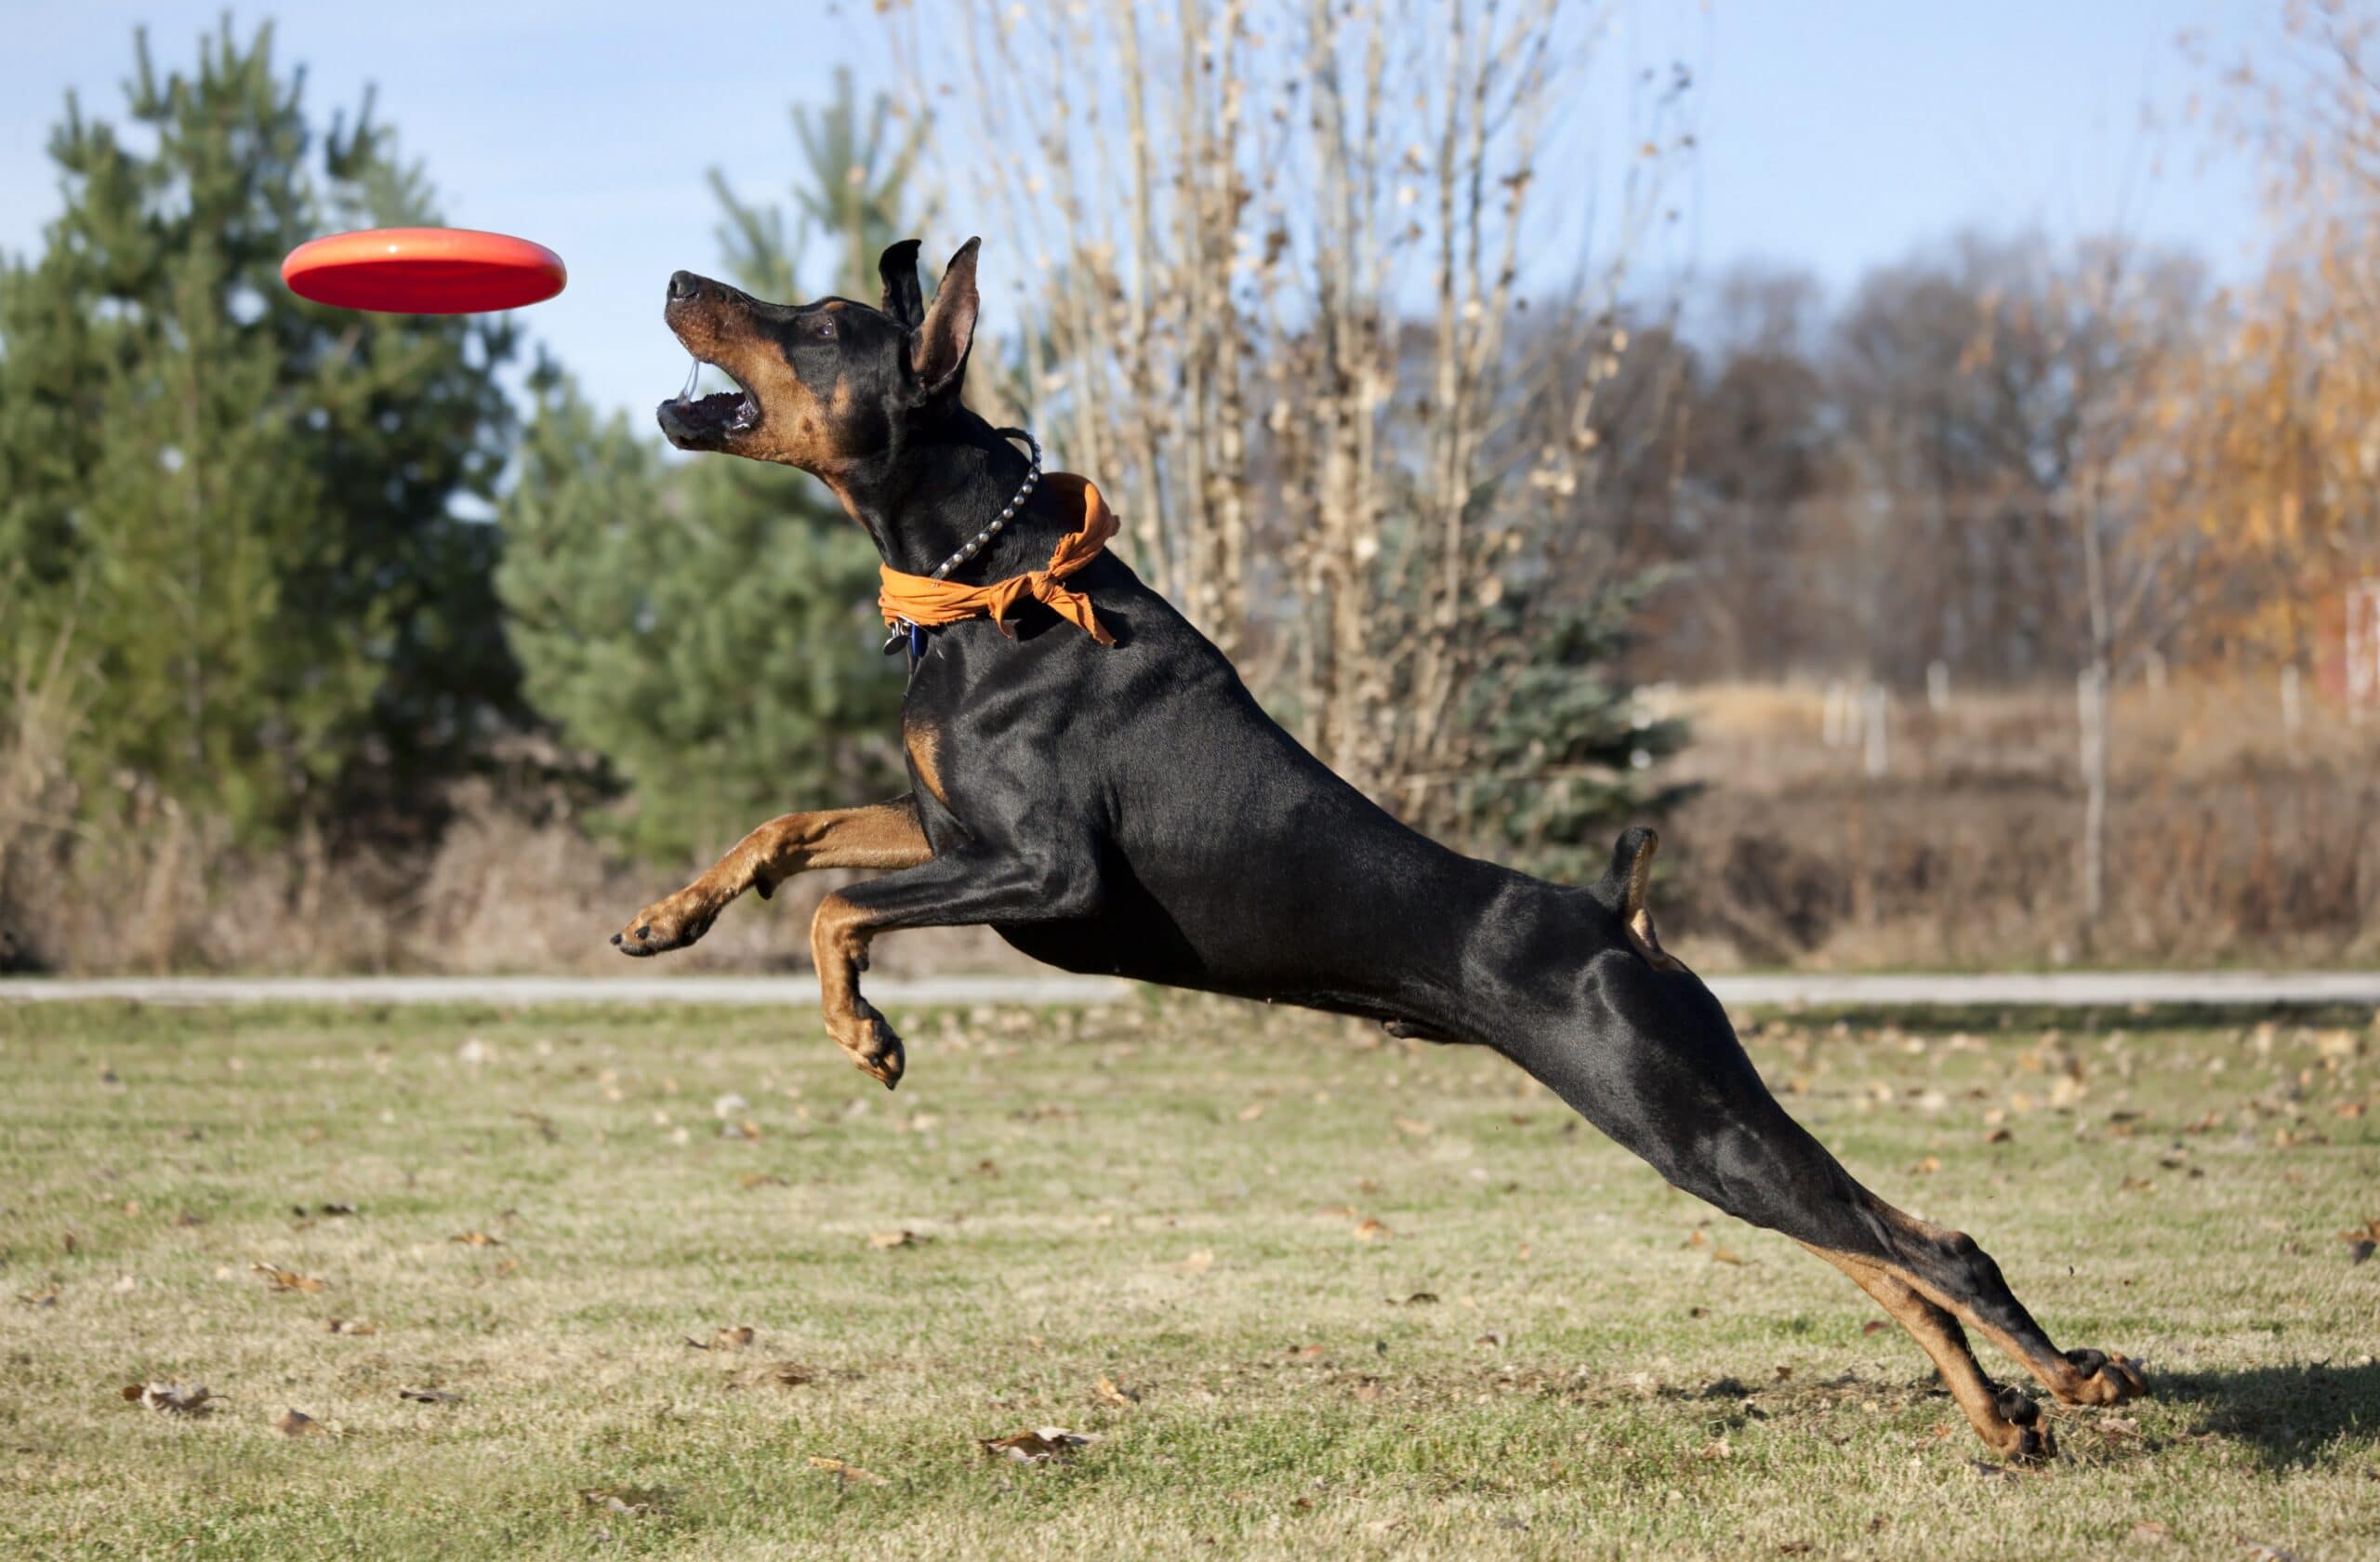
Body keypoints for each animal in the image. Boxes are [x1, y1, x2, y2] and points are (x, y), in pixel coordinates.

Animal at [604, 238, 2151, 1457]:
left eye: (818, 321)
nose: (675, 278)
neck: (991, 584)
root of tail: (1618, 917)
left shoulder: (1046, 875)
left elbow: (841, 907)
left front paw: (864, 1035)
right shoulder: (946, 824)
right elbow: (797, 830)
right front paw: (668, 919)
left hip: (1672, 1107)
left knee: (1916, 1249)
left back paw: (2058, 1388)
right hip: (1693, 1118)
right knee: (1892, 1259)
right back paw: (2023, 1410)